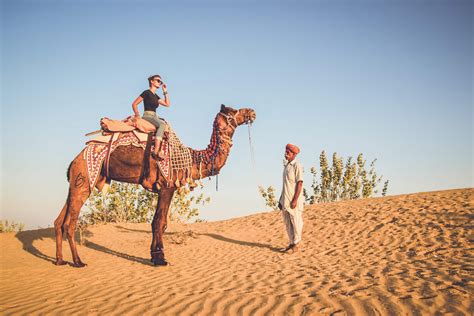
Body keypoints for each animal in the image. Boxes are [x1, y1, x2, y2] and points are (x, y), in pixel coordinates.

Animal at [52, 104, 256, 266]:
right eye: (233, 110)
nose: (251, 112)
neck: (191, 159)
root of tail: (75, 159)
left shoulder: (164, 189)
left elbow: (158, 223)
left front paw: (154, 255)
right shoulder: (167, 186)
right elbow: (159, 222)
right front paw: (160, 258)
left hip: (75, 183)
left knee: (59, 221)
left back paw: (60, 260)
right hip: (84, 179)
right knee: (70, 223)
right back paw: (78, 261)